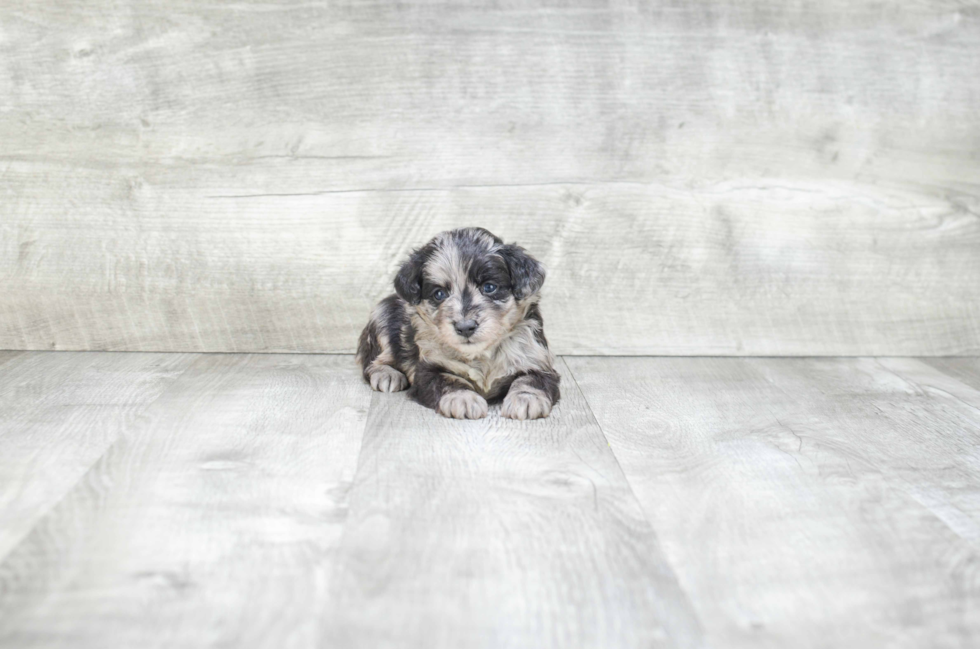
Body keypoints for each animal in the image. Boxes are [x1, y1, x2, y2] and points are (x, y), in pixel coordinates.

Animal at [358, 228, 560, 420]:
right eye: (439, 294)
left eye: (489, 287)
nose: (465, 327)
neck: (480, 355)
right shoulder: (429, 368)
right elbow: (449, 380)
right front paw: (463, 398)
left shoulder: (536, 359)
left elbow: (531, 380)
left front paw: (526, 398)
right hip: (381, 317)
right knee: (373, 360)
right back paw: (387, 374)